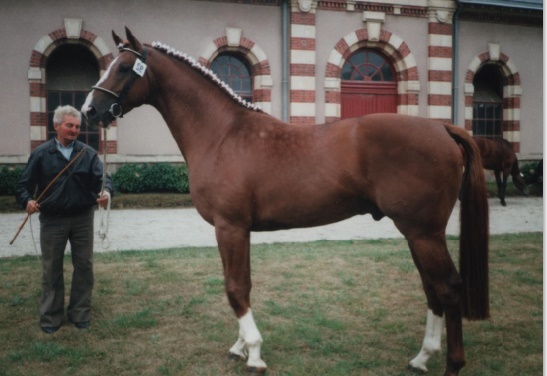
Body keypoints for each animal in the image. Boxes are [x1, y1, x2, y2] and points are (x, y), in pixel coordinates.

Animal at [81, 28, 488, 376]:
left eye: (123, 68)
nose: (89, 110)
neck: (222, 134)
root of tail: (442, 128)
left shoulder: (230, 227)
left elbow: (235, 287)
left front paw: (254, 354)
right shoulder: (239, 229)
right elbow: (241, 284)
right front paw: (240, 347)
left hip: (423, 233)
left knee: (449, 288)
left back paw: (452, 363)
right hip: (418, 234)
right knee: (432, 288)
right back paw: (421, 358)